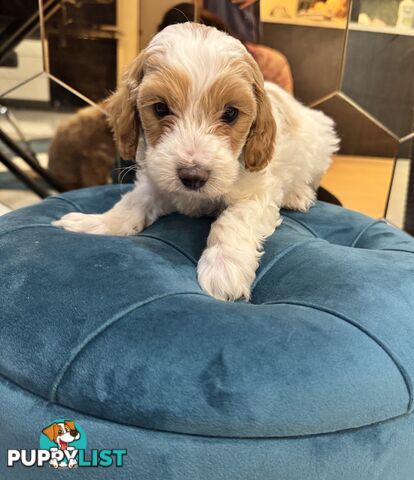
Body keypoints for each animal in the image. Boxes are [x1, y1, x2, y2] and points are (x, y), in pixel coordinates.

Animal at [54, 23, 340, 300]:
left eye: (230, 113)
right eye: (160, 108)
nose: (193, 176)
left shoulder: (256, 193)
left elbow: (232, 220)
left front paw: (224, 267)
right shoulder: (156, 182)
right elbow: (130, 204)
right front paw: (95, 223)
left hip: (321, 141)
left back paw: (298, 195)